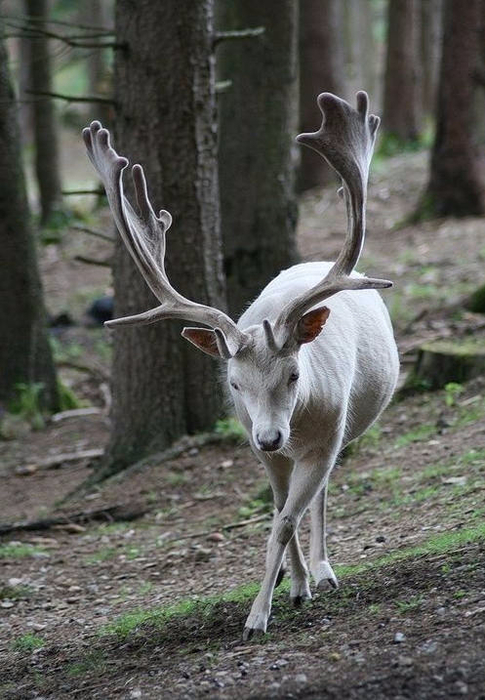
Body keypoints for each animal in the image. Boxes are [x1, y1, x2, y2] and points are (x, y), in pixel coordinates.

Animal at [83, 91, 398, 640]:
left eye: (294, 374)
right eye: (233, 383)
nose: (270, 436)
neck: (295, 424)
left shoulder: (325, 436)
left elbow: (286, 520)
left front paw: (258, 617)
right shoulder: (258, 447)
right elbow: (276, 511)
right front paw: (292, 588)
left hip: (339, 433)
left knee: (322, 493)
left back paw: (325, 570)